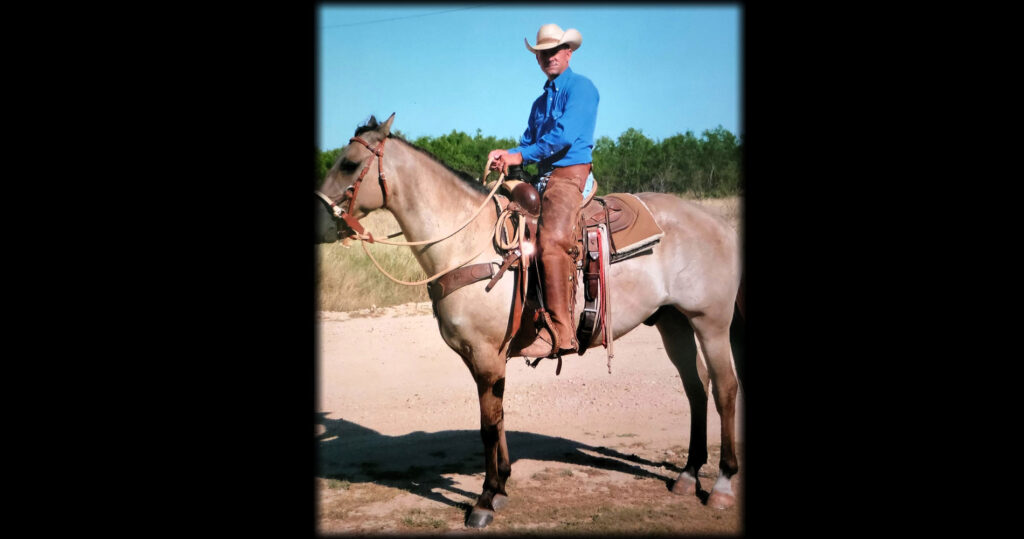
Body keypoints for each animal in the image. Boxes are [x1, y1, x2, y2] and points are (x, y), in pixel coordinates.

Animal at [315, 114, 744, 528]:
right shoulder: (481, 358)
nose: (319, 223)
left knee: (724, 389)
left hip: (710, 322)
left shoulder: (487, 355)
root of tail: (719, 224)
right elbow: (499, 417)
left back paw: (722, 484)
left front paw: (485, 500)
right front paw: (502, 487)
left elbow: (488, 426)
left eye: (349, 163)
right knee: (696, 387)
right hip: (674, 322)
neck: (468, 245)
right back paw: (688, 475)